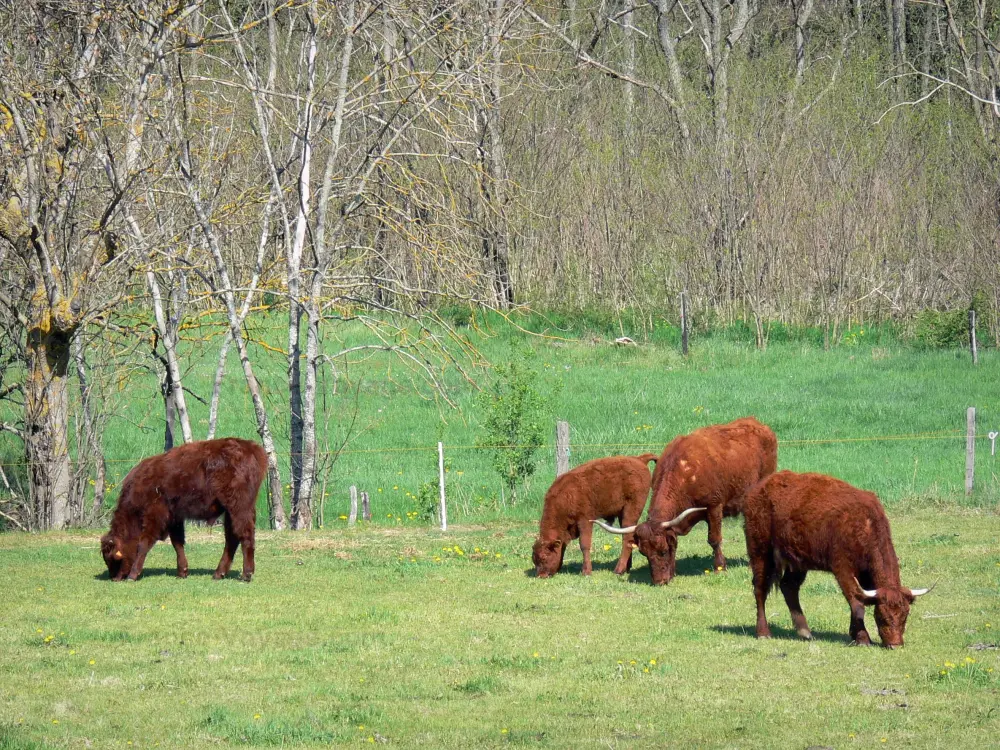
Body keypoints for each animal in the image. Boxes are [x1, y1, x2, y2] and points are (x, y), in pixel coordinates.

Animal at [99, 438, 268, 584]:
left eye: (113, 558)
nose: (114, 578)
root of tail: (251, 447)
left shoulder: (155, 516)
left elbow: (144, 543)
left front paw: (133, 575)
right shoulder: (174, 517)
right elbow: (177, 543)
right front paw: (182, 572)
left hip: (238, 508)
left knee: (245, 535)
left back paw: (246, 574)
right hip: (231, 511)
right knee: (232, 538)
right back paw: (218, 574)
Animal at [536, 452, 660, 580]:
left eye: (544, 557)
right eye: (534, 559)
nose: (541, 575)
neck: (565, 497)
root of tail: (639, 459)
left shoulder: (585, 520)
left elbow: (584, 545)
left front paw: (586, 571)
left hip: (630, 512)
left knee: (627, 538)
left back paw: (618, 570)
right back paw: (626, 568)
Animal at [588, 418, 776, 588]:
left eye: (663, 551)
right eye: (644, 553)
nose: (659, 582)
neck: (684, 473)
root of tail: (758, 424)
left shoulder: (714, 507)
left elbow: (714, 539)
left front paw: (720, 567)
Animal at [744, 472, 928, 648]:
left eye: (905, 616)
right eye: (882, 616)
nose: (895, 645)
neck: (865, 524)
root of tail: (759, 487)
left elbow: (859, 600)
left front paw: (854, 634)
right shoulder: (843, 569)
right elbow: (856, 603)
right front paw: (862, 638)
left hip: (797, 561)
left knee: (789, 587)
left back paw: (804, 631)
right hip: (760, 552)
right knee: (760, 588)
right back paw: (763, 632)